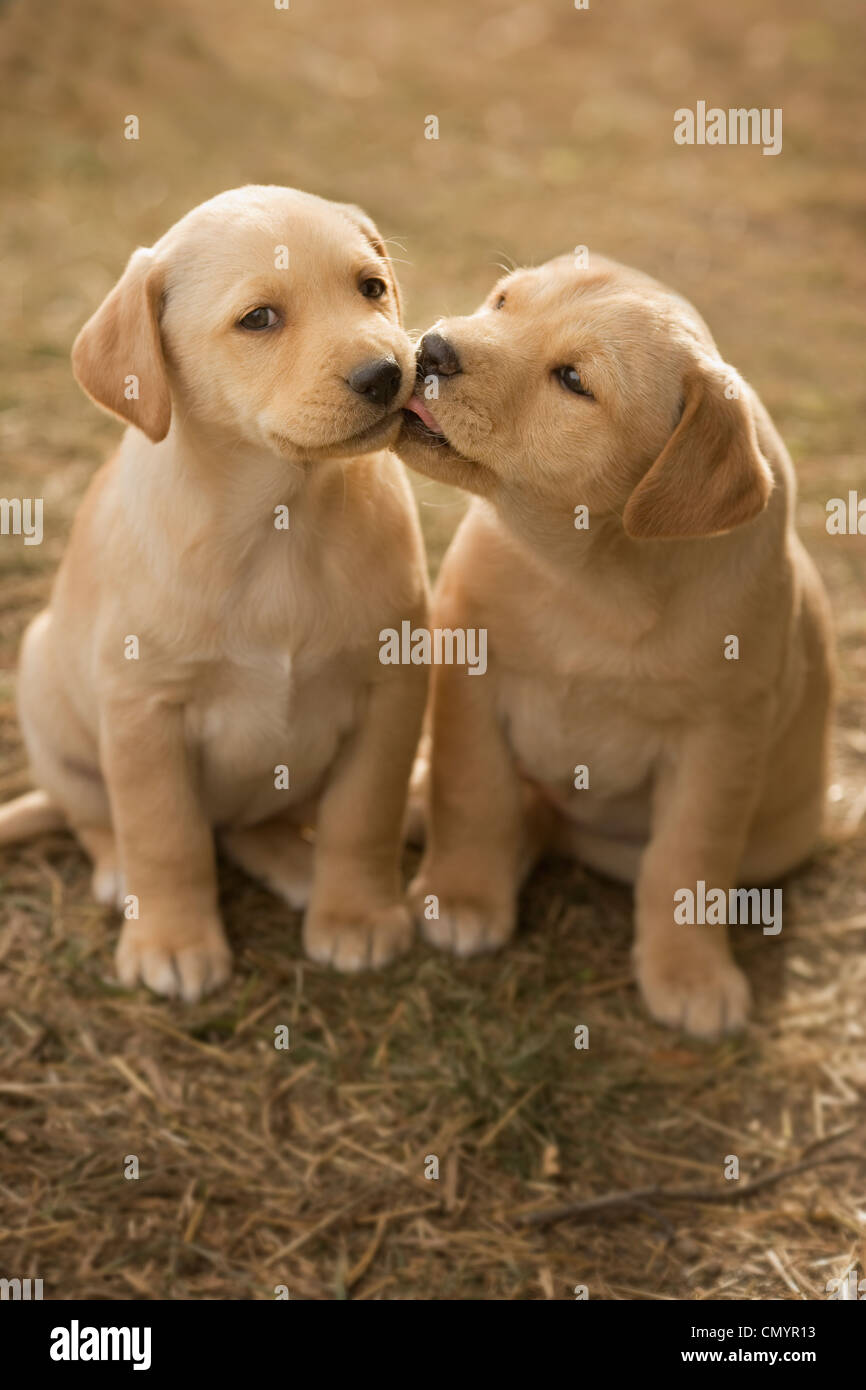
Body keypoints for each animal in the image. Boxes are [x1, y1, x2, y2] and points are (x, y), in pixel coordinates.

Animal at [0, 190, 430, 1006]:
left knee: (247, 828)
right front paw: (172, 941)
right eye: (259, 319)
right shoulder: (144, 711)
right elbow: (166, 836)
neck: (281, 515)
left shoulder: (390, 691)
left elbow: (364, 817)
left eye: (370, 288)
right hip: (49, 696)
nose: (390, 373)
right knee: (97, 817)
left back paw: (297, 863)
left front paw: (356, 914)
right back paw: (120, 876)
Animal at [397, 258, 834, 1045]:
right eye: (502, 303)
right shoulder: (471, 678)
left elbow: (687, 862)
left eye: (573, 380)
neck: (591, 573)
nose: (434, 349)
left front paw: (690, 974)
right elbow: (472, 791)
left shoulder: (721, 739)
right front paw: (463, 895)